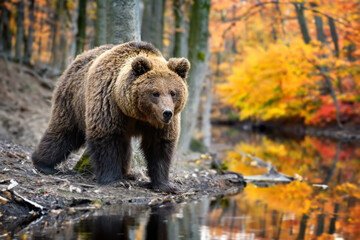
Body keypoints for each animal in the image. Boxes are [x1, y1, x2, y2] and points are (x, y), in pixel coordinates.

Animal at [32, 41, 190, 193]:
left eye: (173, 92)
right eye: (155, 93)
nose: (167, 112)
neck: (137, 113)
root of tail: (78, 58)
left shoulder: (158, 124)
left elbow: (159, 147)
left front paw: (166, 185)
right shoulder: (108, 104)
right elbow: (107, 139)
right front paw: (114, 180)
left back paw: (128, 173)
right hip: (72, 101)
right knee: (64, 132)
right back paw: (43, 163)